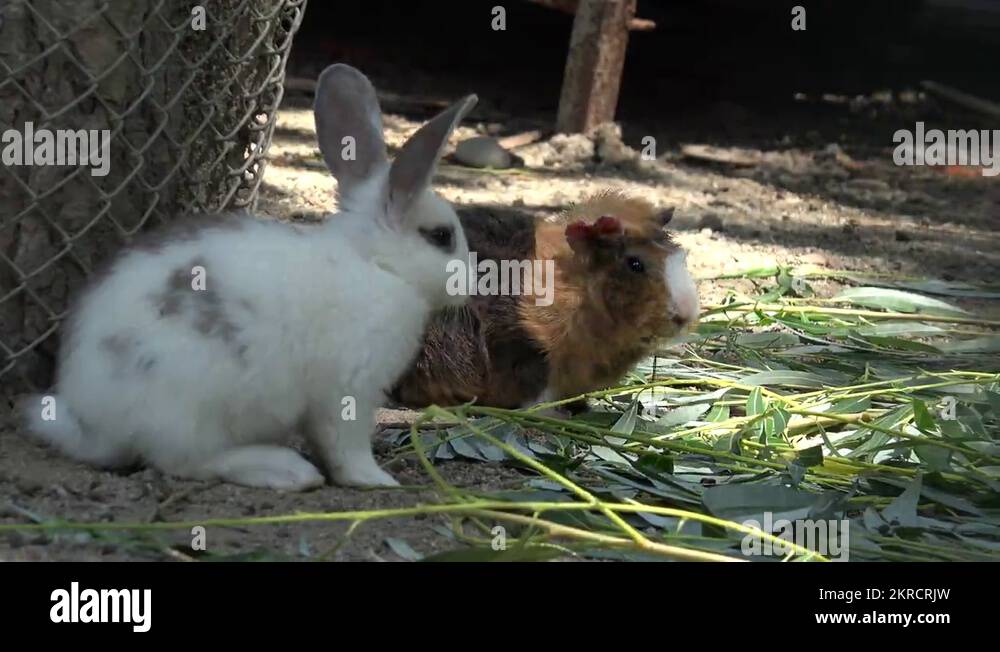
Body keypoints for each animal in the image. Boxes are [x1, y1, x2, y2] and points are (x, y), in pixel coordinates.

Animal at [22, 64, 478, 490]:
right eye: (441, 236)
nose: (471, 287)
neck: (376, 263)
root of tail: (94, 423)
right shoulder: (347, 391)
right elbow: (346, 448)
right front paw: (377, 480)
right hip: (193, 407)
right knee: (186, 461)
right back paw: (285, 470)